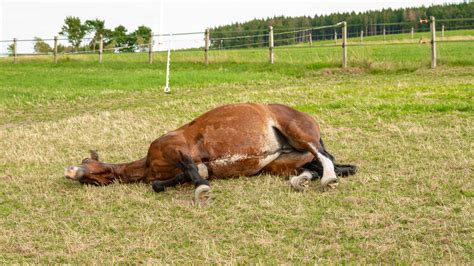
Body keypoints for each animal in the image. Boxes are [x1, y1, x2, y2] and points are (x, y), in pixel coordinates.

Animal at [65, 103, 358, 205]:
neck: (148, 163)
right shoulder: (189, 167)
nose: (70, 171)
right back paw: (303, 179)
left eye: (85, 161)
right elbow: (167, 182)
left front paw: (202, 190)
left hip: (298, 132)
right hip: (280, 162)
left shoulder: (176, 147)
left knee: (324, 158)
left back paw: (327, 179)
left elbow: (191, 169)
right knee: (319, 164)